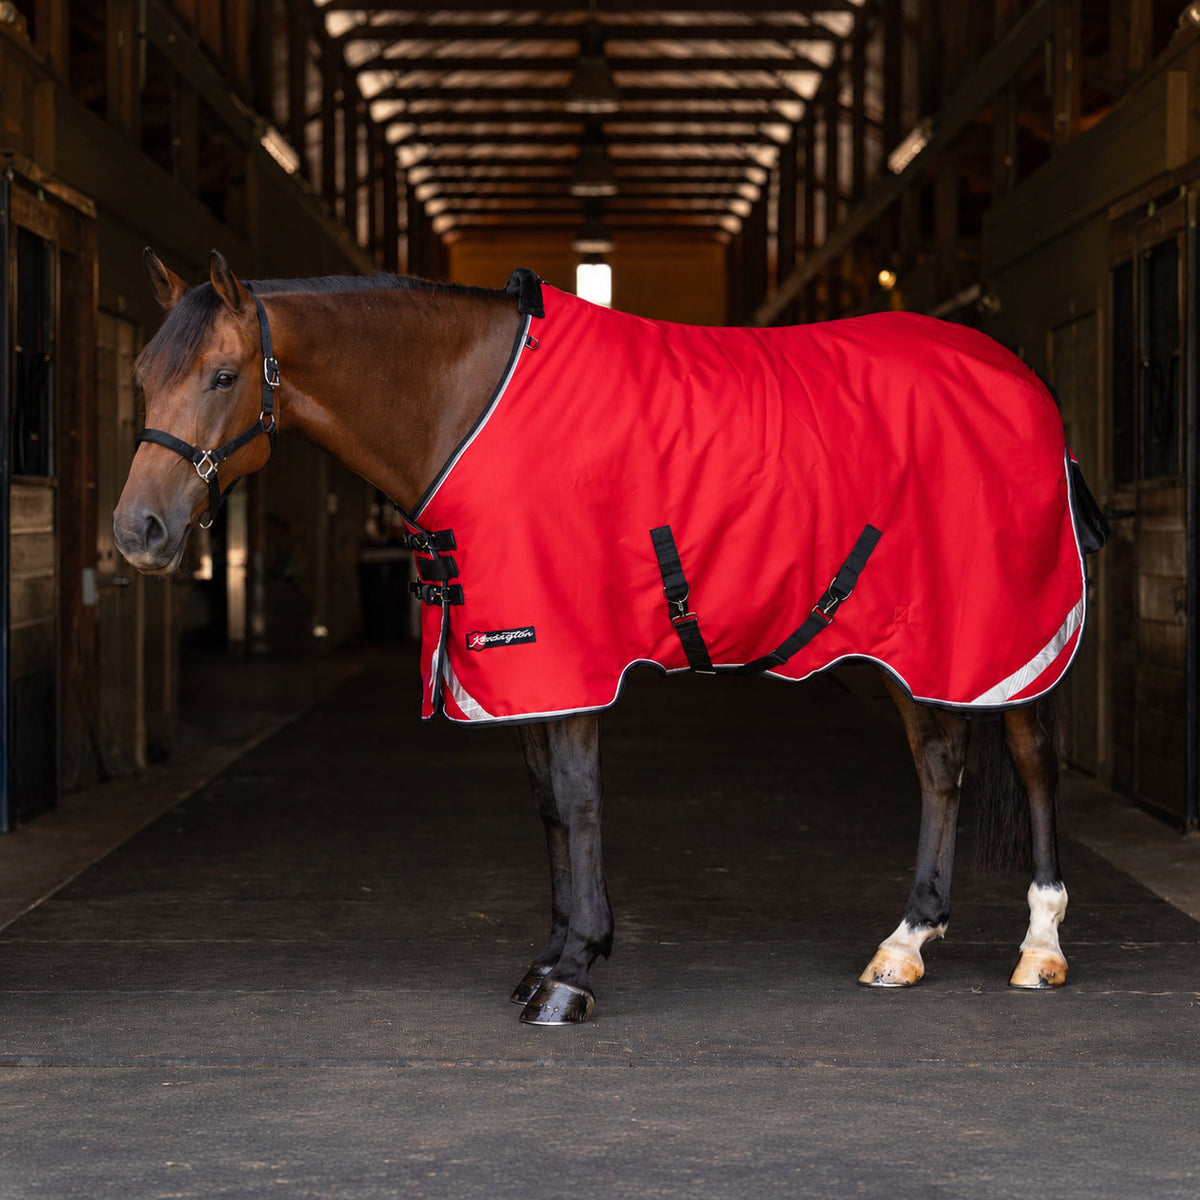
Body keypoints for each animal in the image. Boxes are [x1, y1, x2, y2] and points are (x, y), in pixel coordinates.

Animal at [114, 249, 1102, 1026]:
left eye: (223, 374)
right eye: (142, 375)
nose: (139, 532)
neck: (471, 402)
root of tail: (1022, 379)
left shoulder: (566, 651)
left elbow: (580, 800)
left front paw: (572, 974)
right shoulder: (514, 665)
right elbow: (550, 807)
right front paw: (549, 957)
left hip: (1004, 632)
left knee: (1031, 762)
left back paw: (1040, 948)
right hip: (912, 640)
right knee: (941, 765)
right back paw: (907, 942)